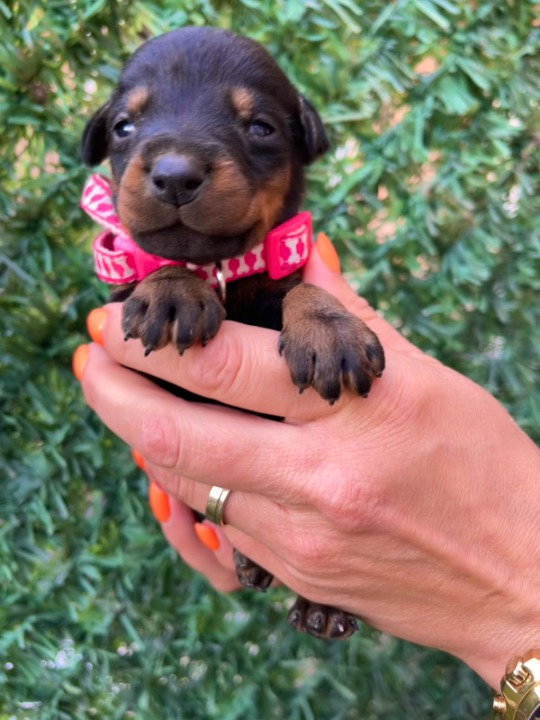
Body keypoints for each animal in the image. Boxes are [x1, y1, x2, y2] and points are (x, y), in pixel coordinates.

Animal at [81, 26, 385, 640]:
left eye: (260, 127)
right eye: (124, 126)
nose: (174, 174)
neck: (221, 271)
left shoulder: (284, 266)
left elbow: (298, 287)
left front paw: (329, 331)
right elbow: (159, 263)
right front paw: (173, 289)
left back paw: (319, 604)